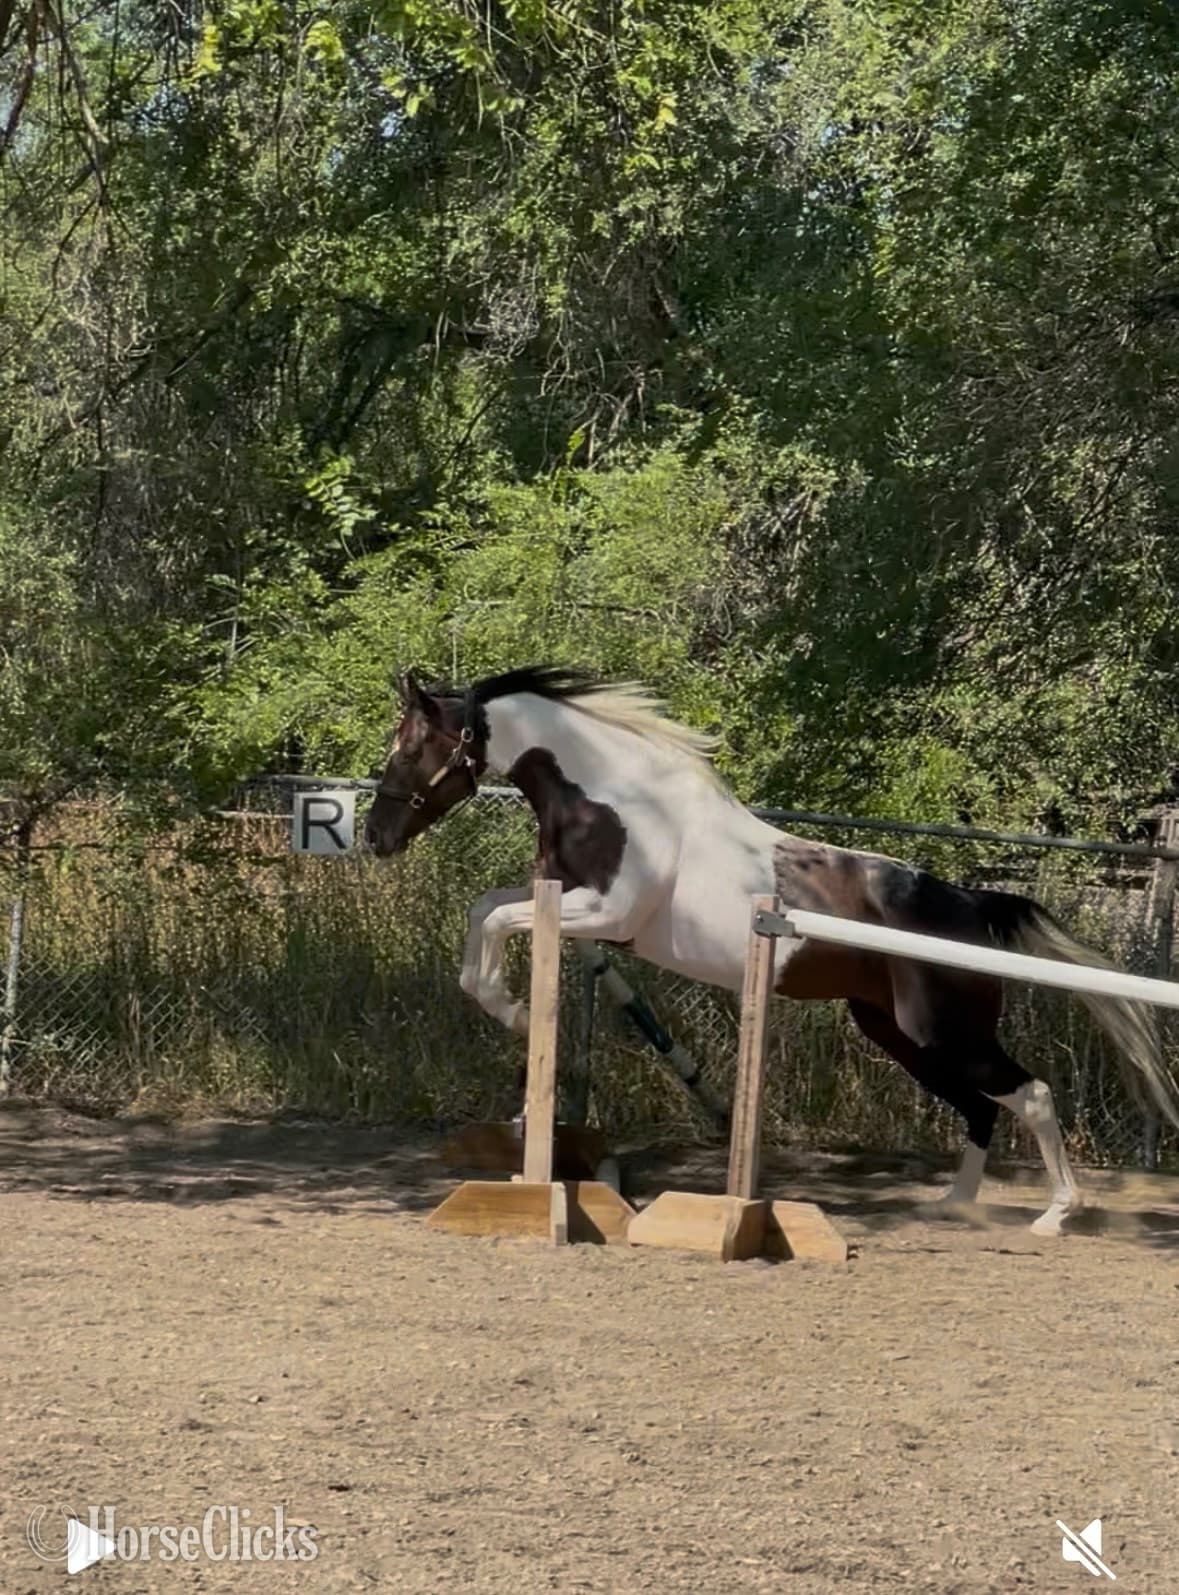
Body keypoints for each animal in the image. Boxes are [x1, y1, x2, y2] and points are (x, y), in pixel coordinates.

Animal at [364, 665, 1179, 1236]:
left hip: (942, 1033)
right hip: (896, 1033)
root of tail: (970, 909)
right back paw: (953, 1204)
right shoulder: (576, 908)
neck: (610, 798)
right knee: (980, 1108)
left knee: (1028, 1095)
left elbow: (499, 920)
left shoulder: (605, 913)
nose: (375, 838)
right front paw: (503, 1006)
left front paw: (509, 1008)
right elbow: (485, 912)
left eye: (410, 747)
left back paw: (1055, 1214)